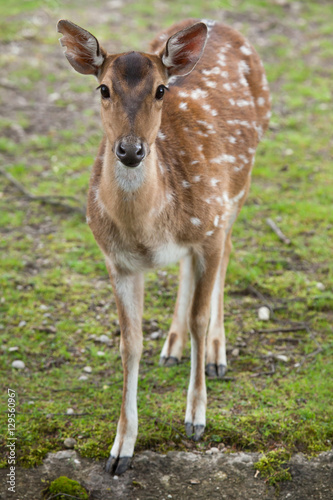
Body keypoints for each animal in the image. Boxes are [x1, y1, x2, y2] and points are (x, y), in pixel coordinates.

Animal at [57, 17, 270, 474]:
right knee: (188, 267)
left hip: (237, 188)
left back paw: (216, 355)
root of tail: (222, 24)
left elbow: (199, 319)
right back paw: (170, 347)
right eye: (103, 88)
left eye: (160, 90)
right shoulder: (115, 260)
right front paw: (120, 449)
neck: (149, 230)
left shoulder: (210, 227)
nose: (130, 149)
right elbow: (129, 343)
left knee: (227, 254)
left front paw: (196, 418)